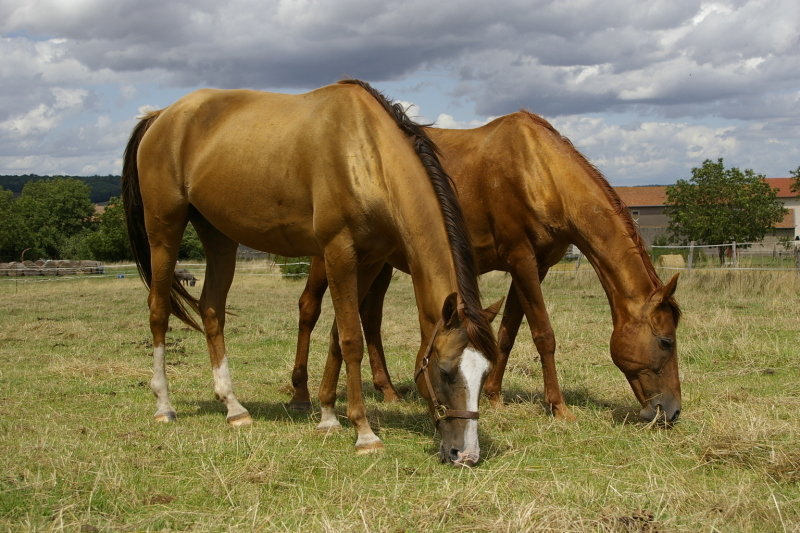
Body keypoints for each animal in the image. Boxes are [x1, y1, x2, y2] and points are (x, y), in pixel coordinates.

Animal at [119, 78, 496, 462]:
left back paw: (234, 407)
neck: (366, 152)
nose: (466, 454)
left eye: (485, 373)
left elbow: (335, 336)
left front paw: (328, 416)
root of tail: (161, 115)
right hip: (164, 231)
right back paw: (164, 405)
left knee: (211, 310)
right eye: (446, 372)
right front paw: (364, 433)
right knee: (158, 311)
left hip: (218, 236)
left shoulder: (370, 261)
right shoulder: (339, 252)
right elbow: (351, 339)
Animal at [290, 111, 684, 424]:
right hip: (330, 258)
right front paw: (558, 406)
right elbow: (543, 334)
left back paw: (387, 390)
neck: (539, 169)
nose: (672, 411)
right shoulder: (522, 259)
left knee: (370, 317)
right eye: (666, 341)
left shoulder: (535, 266)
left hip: (380, 262)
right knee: (310, 308)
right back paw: (300, 394)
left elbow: (508, 331)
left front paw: (494, 394)